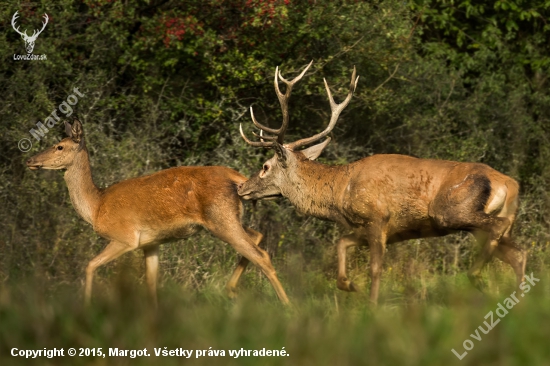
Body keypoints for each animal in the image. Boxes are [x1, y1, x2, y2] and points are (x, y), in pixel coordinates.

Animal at [26, 120, 292, 306]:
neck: (97, 206)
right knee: (257, 236)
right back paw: (231, 290)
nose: (30, 160)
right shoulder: (150, 243)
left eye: (59, 146)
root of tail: (237, 178)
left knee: (262, 256)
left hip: (221, 220)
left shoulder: (125, 237)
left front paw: (86, 307)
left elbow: (90, 265)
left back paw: (288, 307)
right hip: (228, 218)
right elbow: (151, 286)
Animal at [238, 61, 532, 304]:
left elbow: (376, 268)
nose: (241, 187)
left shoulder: (378, 217)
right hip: (485, 225)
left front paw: (371, 306)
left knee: (499, 230)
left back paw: (477, 276)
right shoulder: (370, 228)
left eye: (265, 167)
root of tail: (510, 184)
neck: (339, 191)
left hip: (453, 210)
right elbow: (341, 244)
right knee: (518, 252)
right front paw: (350, 286)